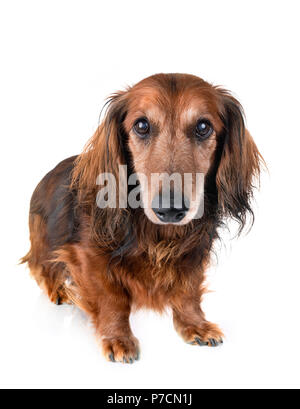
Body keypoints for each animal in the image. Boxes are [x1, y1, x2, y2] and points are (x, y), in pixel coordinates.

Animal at [21, 74, 262, 364]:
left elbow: (188, 291)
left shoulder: (194, 252)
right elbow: (112, 298)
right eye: (142, 125)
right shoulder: (86, 255)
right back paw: (58, 290)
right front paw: (118, 338)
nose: (170, 209)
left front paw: (195, 325)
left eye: (203, 126)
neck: (157, 233)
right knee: (40, 266)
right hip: (45, 240)